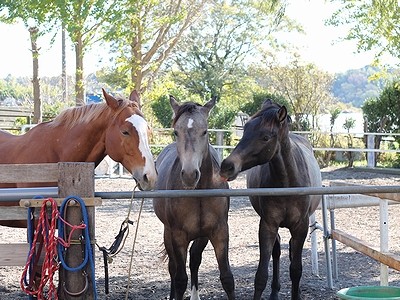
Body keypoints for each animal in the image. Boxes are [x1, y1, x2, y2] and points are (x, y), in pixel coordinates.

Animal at [153, 96, 234, 300]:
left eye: (205, 131)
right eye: (176, 131)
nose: (190, 175)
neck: (199, 193)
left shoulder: (219, 232)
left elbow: (227, 278)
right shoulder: (178, 235)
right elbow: (180, 278)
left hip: (201, 236)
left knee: (195, 259)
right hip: (168, 233)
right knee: (173, 268)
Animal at [219, 99, 322, 298]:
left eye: (265, 137)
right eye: (245, 130)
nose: (227, 166)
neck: (287, 183)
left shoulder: (301, 226)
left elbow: (296, 270)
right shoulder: (268, 225)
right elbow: (261, 275)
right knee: (277, 251)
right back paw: (274, 292)